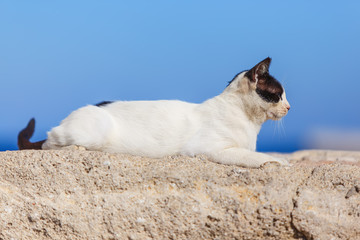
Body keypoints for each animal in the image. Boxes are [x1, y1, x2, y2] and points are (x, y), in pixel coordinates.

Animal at [18, 57, 292, 168]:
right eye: (279, 94)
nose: (290, 107)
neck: (250, 123)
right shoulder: (211, 149)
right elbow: (255, 157)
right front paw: (278, 161)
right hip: (93, 133)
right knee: (49, 143)